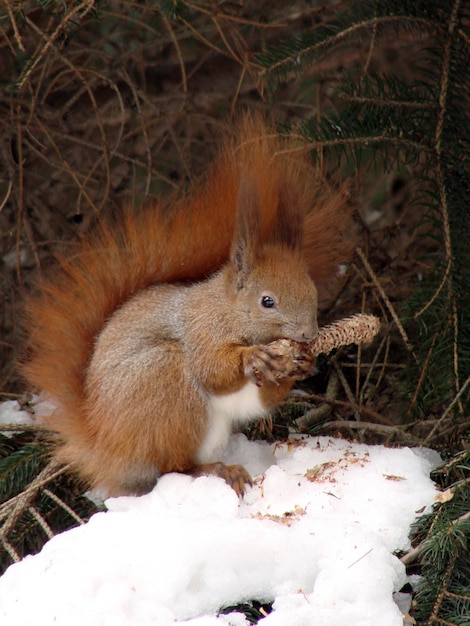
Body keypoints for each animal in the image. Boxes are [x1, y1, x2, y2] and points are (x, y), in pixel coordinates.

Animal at [22, 111, 352, 492]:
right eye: (267, 301)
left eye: (312, 291)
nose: (309, 335)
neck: (226, 310)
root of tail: (107, 451)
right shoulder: (200, 329)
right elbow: (212, 369)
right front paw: (253, 357)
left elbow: (256, 401)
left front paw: (300, 365)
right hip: (164, 385)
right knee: (171, 466)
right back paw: (216, 470)